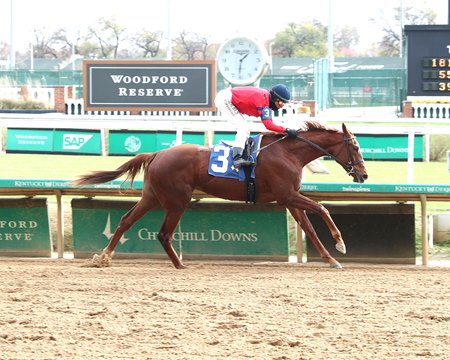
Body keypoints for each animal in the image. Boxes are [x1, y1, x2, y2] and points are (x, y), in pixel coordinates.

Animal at [74, 121, 368, 270]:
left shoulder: (290, 198)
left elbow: (309, 227)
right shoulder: (287, 196)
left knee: (126, 220)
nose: (363, 175)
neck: (289, 153)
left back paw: (103, 257)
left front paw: (331, 259)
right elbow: (322, 209)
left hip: (152, 196)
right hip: (177, 201)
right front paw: (340, 244)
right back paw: (180, 265)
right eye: (355, 146)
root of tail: (157, 153)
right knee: (163, 233)